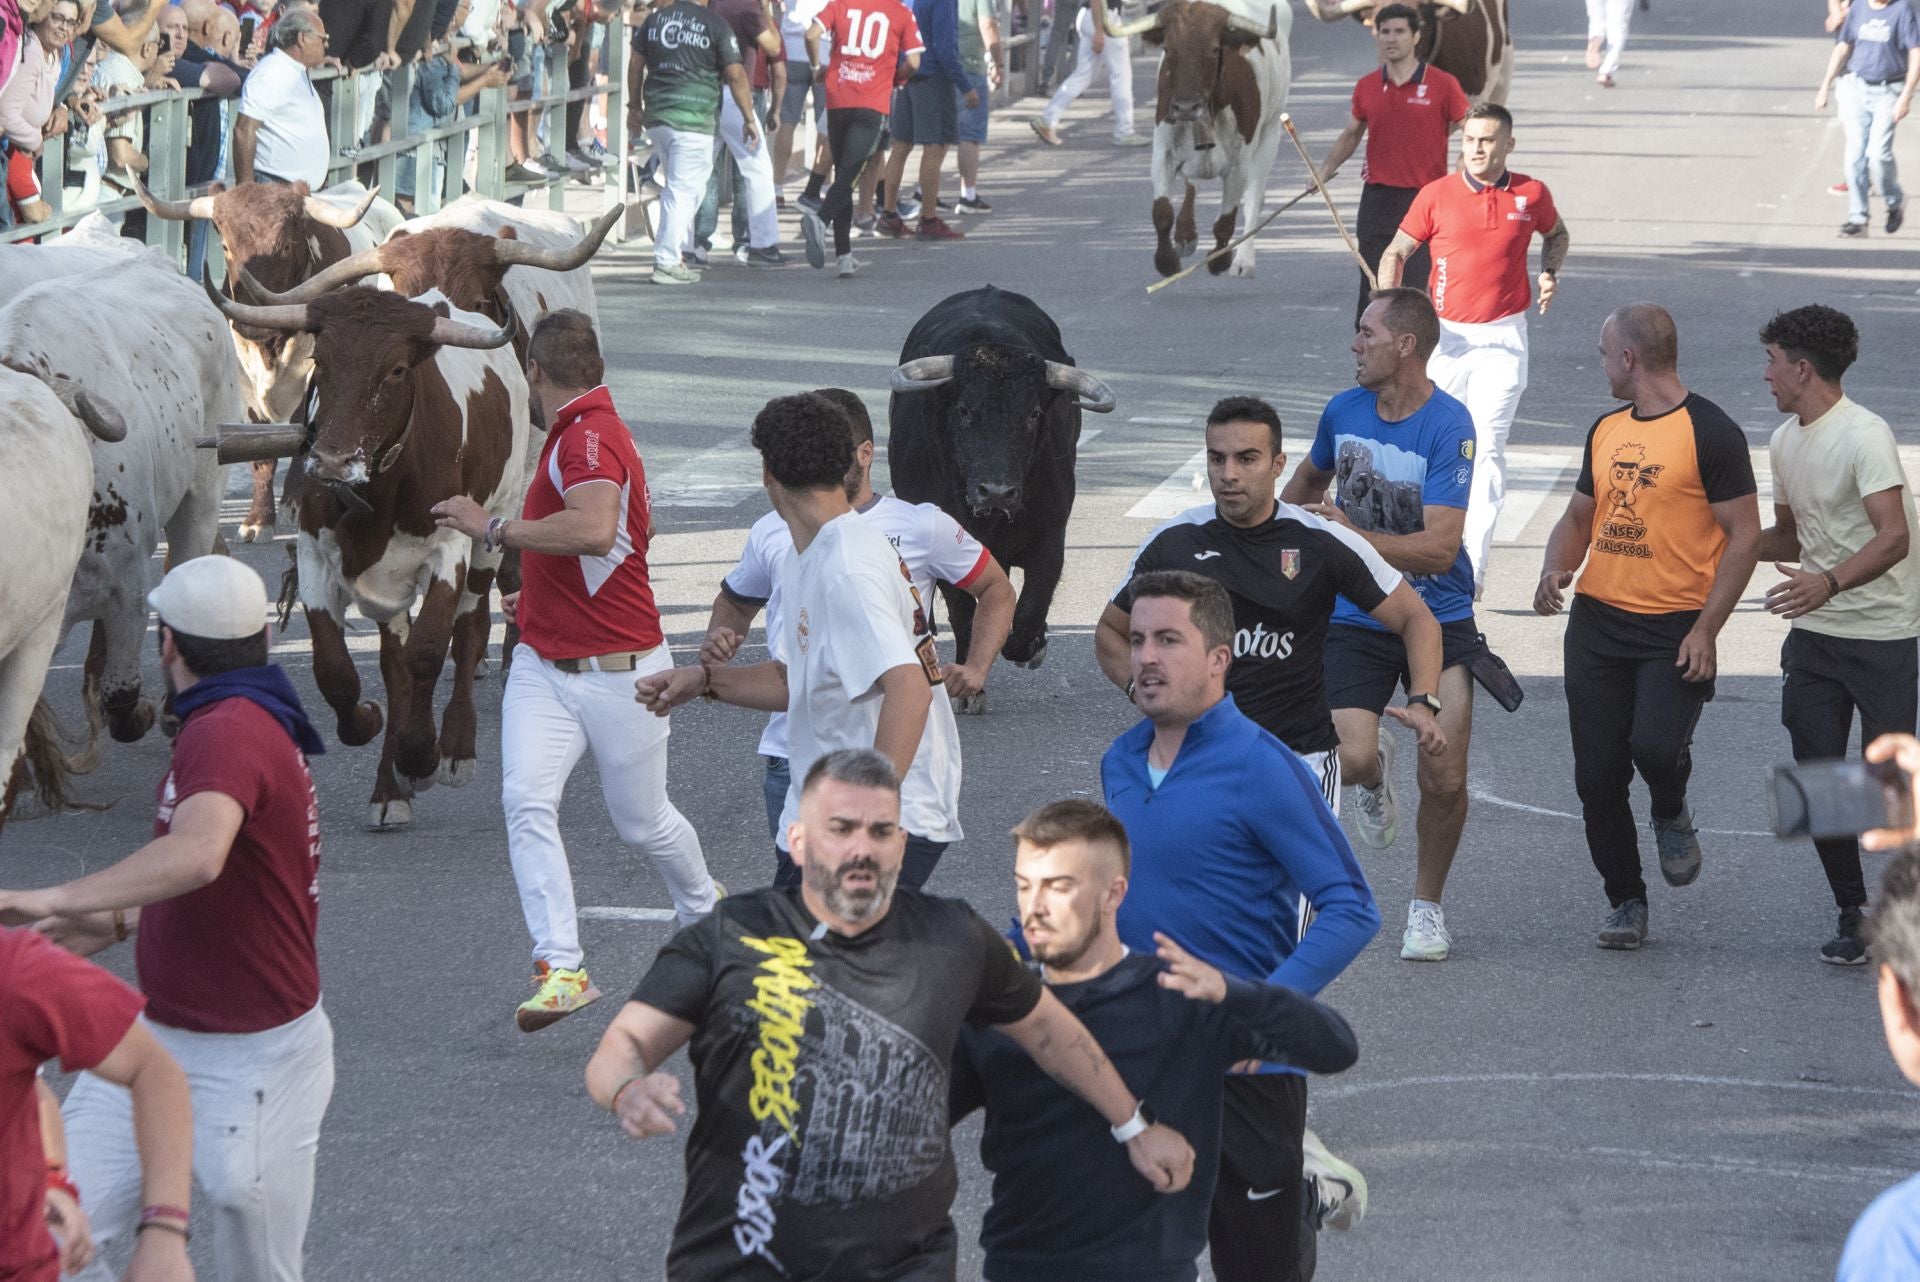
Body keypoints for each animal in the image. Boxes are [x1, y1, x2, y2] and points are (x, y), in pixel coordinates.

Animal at [879, 285, 1113, 675]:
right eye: (963, 410)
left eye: (1033, 413)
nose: (997, 493)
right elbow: (963, 613)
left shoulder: (1051, 538)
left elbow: (1030, 607)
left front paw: (1030, 645)